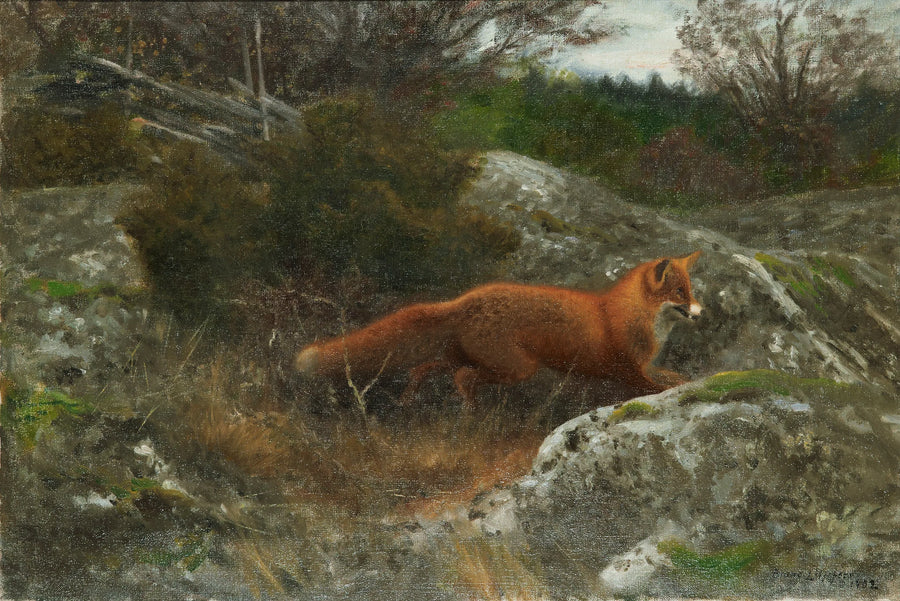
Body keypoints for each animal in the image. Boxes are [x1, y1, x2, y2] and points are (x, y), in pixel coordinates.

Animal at [297, 251, 703, 407]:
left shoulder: (645, 368)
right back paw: (468, 413)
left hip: (467, 357)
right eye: (680, 294)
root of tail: (464, 299)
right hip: (518, 368)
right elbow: (666, 386)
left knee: (426, 368)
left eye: (691, 291)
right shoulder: (631, 372)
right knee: (461, 377)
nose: (701, 313)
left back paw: (408, 400)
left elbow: (678, 378)